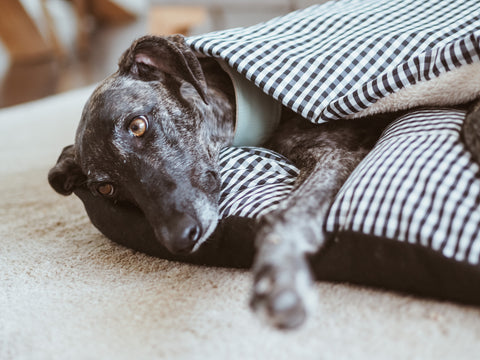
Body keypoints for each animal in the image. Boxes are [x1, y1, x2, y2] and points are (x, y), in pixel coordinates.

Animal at [49, 34, 480, 330]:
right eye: (106, 188)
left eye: (138, 125)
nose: (180, 237)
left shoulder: (334, 153)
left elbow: (286, 217)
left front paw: (280, 281)